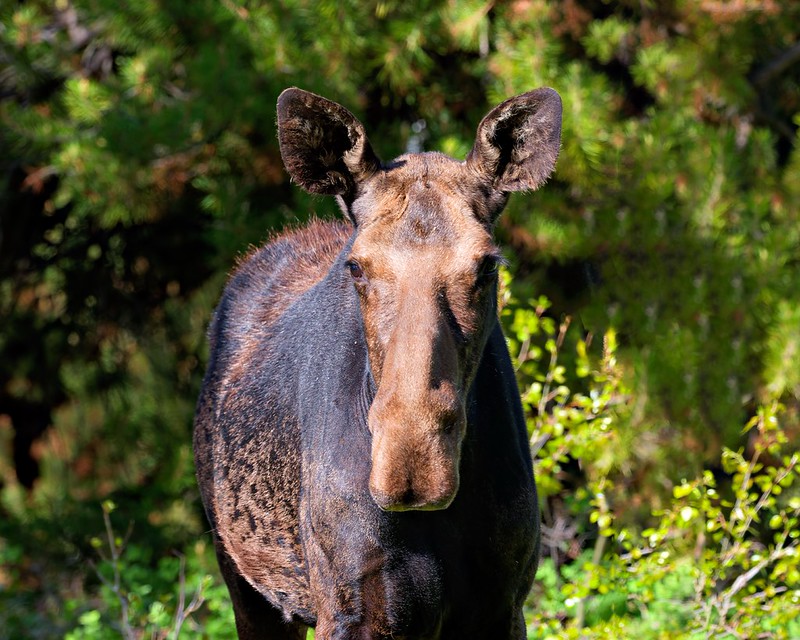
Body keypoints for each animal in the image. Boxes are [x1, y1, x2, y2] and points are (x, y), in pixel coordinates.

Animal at [194, 86, 562, 639]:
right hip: (244, 581)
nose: (412, 462)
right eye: (355, 265)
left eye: (487, 265)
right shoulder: (354, 611)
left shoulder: (502, 605)